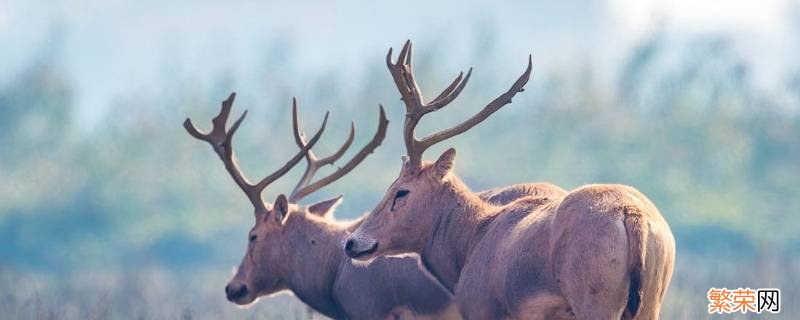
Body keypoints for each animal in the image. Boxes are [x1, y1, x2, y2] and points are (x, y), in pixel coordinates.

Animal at [344, 42, 676, 320]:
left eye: (401, 191)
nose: (352, 242)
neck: (472, 241)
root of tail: (632, 215)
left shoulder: (482, 310)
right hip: (651, 301)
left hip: (595, 299)